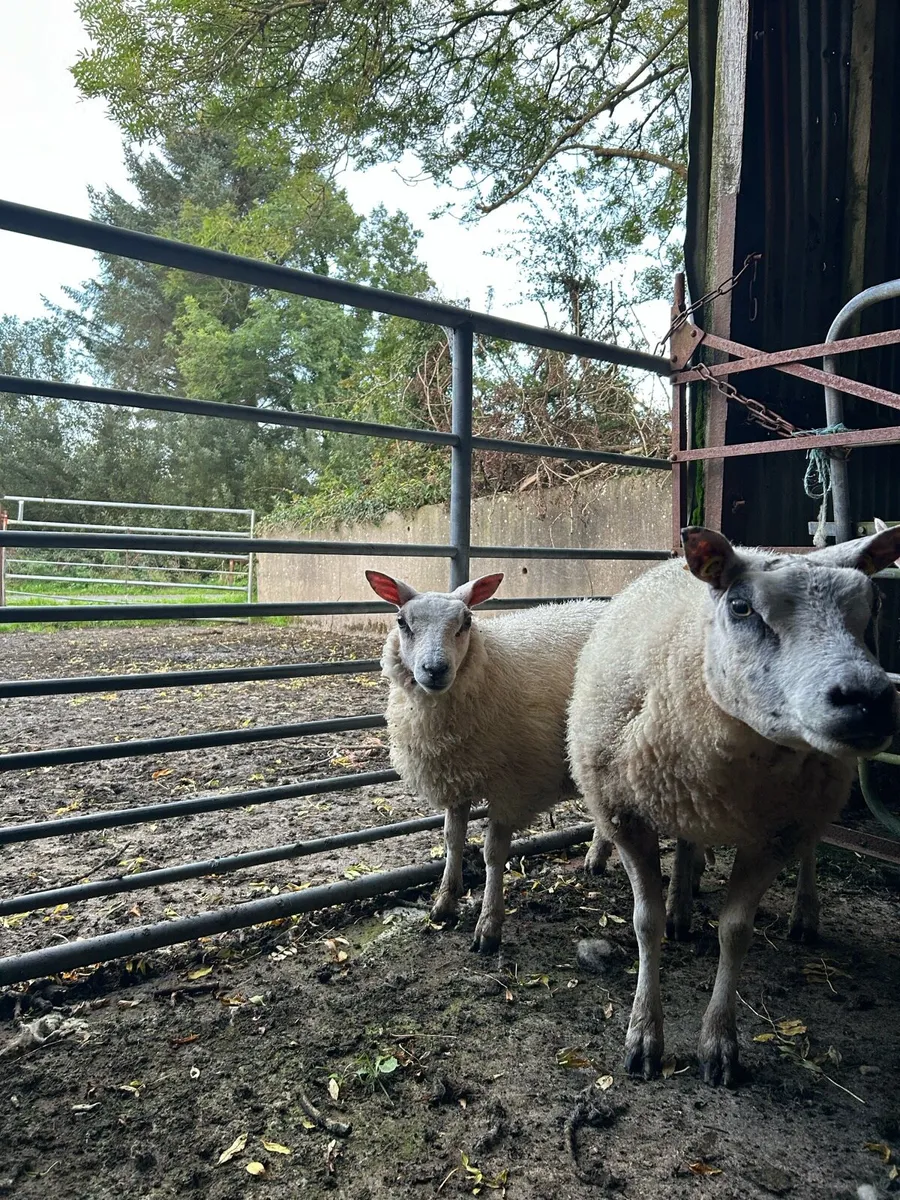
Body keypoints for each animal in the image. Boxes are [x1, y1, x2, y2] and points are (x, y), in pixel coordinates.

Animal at [365, 569, 611, 952]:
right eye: (402, 622)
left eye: (466, 622)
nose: (435, 669)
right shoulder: (455, 777)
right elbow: (452, 839)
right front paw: (444, 903)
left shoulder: (511, 788)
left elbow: (493, 854)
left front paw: (488, 926)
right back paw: (597, 858)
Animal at [568, 524, 900, 1086]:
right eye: (742, 607)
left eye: (873, 605)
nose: (869, 699)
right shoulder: (625, 813)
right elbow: (644, 923)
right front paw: (644, 1036)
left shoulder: (778, 832)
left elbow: (736, 932)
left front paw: (719, 1044)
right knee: (687, 843)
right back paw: (681, 903)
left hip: (816, 797)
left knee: (811, 851)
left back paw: (803, 913)